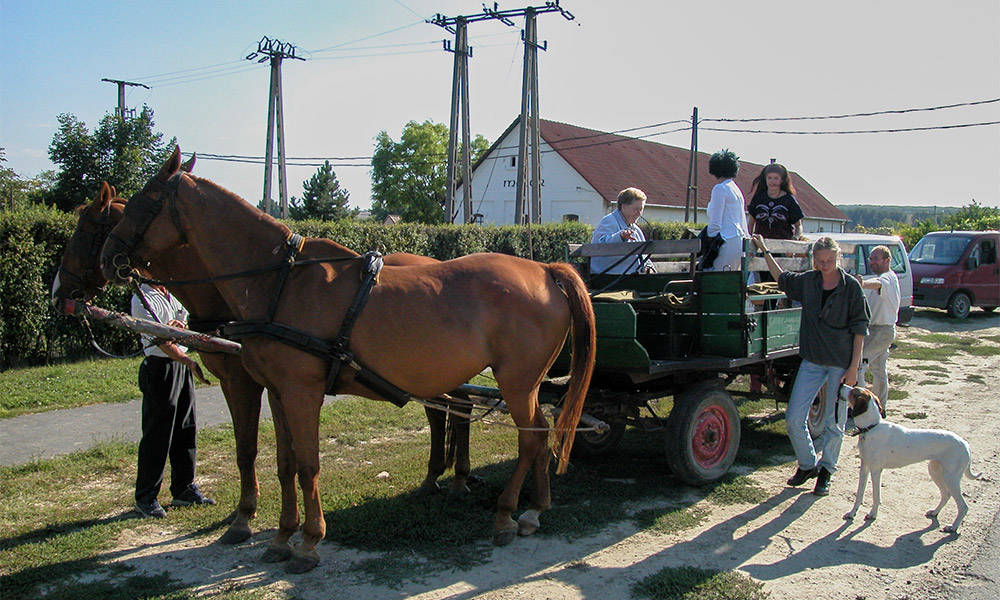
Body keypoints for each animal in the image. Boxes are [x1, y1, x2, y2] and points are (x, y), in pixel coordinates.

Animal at [53, 178, 472, 548]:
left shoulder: (243, 381)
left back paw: (454, 477)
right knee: (450, 409)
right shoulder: (267, 385)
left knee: (457, 408)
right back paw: (442, 477)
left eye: (89, 228)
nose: (60, 292)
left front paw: (245, 517)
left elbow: (250, 450)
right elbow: (270, 456)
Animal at [101, 148, 592, 576]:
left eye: (146, 200)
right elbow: (285, 463)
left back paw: (508, 514)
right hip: (524, 384)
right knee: (540, 434)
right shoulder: (277, 392)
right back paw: (534, 509)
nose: (109, 258)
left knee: (530, 438)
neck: (281, 281)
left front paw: (309, 542)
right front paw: (282, 537)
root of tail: (544, 270)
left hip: (517, 382)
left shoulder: (301, 392)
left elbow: (308, 465)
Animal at [840, 390, 980, 536]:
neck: (871, 428)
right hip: (935, 471)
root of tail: (966, 444)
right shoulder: (864, 468)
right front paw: (852, 513)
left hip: (951, 478)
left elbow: (875, 496)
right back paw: (935, 512)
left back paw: (952, 527)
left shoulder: (876, 470)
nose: (841, 387)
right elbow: (859, 495)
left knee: (963, 506)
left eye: (853, 392)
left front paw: (873, 514)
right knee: (946, 495)